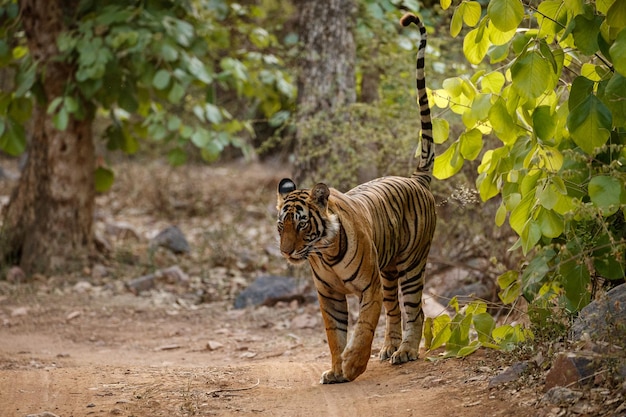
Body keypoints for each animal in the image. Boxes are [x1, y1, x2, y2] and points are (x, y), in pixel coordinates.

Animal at [276, 12, 432, 384]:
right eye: (280, 227)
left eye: (301, 225)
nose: (286, 252)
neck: (324, 252)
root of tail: (415, 179)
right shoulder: (329, 295)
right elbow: (335, 335)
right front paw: (336, 369)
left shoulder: (368, 288)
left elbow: (363, 329)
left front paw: (353, 365)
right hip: (388, 271)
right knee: (395, 311)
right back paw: (390, 349)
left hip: (411, 264)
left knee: (415, 310)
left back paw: (406, 352)